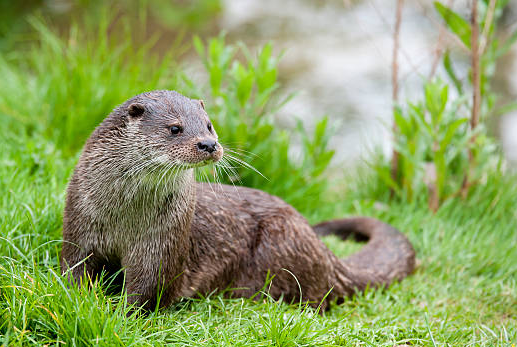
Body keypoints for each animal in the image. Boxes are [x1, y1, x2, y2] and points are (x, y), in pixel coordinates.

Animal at [61, 89, 416, 310]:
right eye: (175, 128)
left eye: (209, 125)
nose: (208, 144)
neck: (125, 217)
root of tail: (326, 255)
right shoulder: (80, 225)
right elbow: (74, 269)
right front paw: (79, 299)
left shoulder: (162, 244)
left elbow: (148, 290)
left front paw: (120, 313)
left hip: (282, 241)